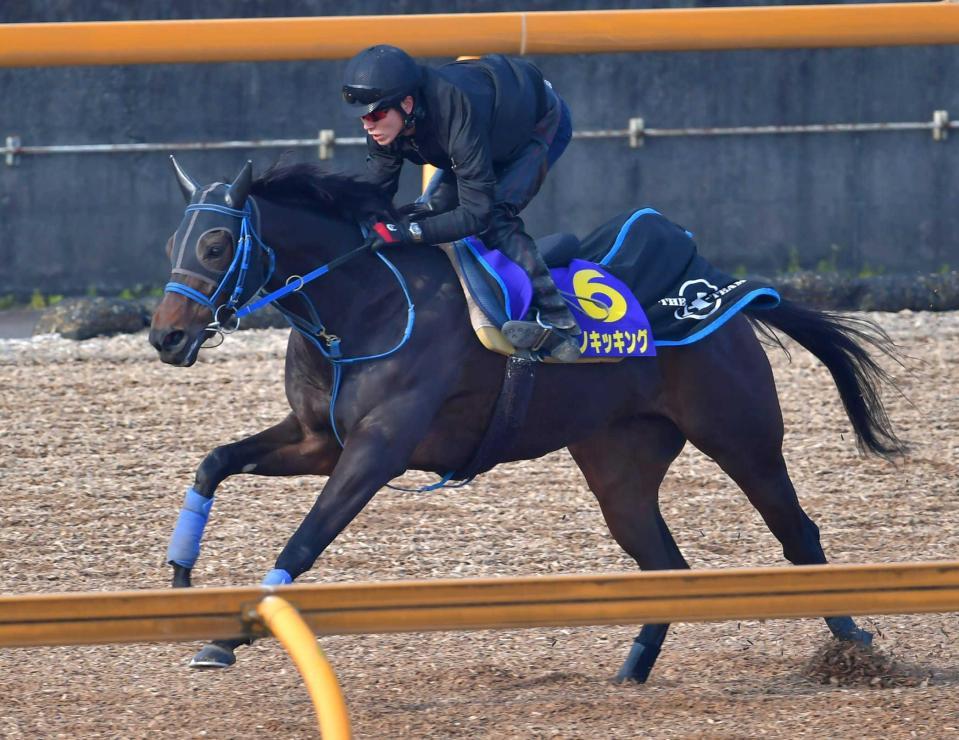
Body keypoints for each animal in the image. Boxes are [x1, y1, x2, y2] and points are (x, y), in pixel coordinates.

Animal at [146, 160, 904, 684]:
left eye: (216, 245)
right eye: (170, 242)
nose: (166, 337)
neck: (365, 305)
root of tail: (725, 292)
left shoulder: (377, 449)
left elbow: (305, 540)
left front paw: (229, 635)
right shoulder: (317, 439)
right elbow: (214, 461)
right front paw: (181, 577)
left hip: (741, 436)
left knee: (798, 534)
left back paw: (853, 646)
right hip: (618, 464)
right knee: (664, 561)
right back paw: (632, 668)